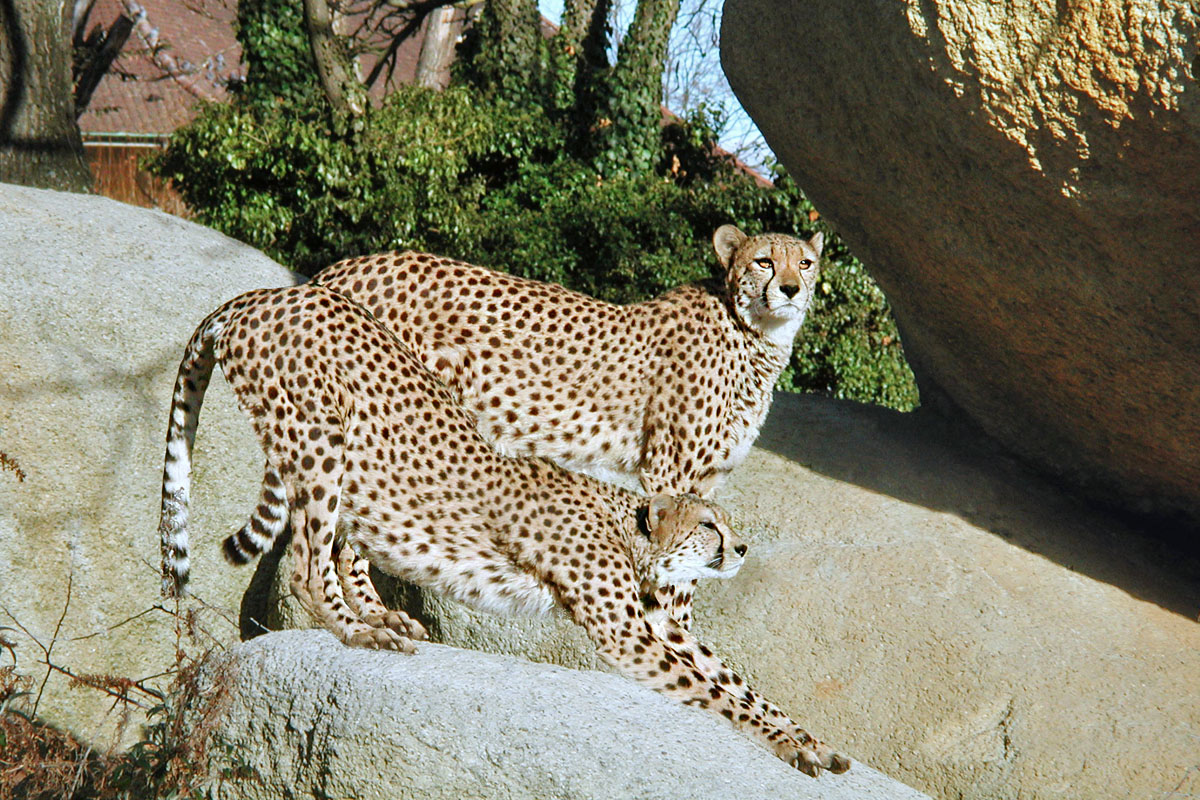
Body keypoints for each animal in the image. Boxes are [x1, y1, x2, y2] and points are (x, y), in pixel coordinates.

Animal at [157, 283, 850, 777]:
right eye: (709, 524)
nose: (742, 548)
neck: (629, 529)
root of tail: (269, 293)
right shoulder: (626, 634)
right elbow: (716, 694)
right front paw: (784, 747)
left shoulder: (655, 621)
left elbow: (738, 682)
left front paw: (809, 741)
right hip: (322, 435)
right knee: (306, 562)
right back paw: (360, 631)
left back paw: (380, 617)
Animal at [222, 224, 825, 631]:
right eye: (764, 262)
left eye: (807, 262)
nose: (791, 289)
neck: (754, 333)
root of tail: (342, 267)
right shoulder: (670, 470)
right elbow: (678, 570)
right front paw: (677, 637)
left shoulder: (706, 480)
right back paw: (375, 617)